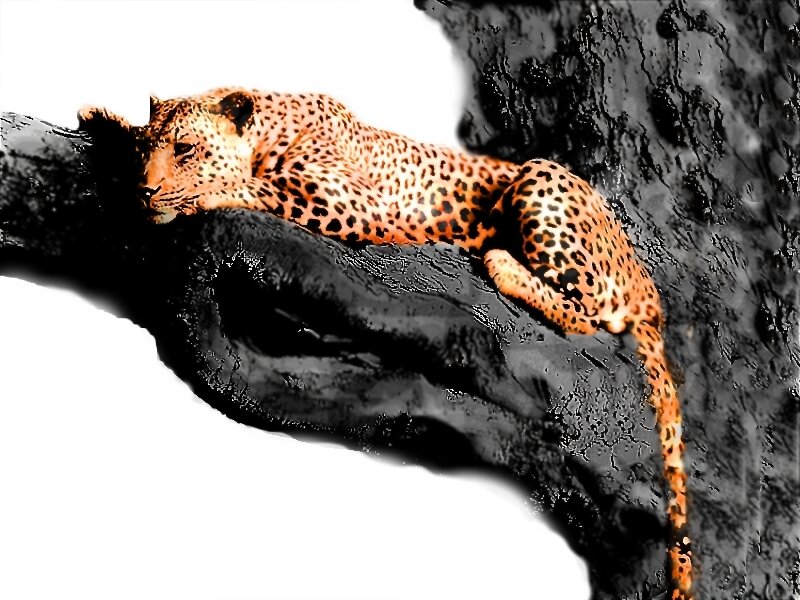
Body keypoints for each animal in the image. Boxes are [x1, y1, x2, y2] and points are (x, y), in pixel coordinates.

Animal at [79, 88, 694, 600]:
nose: (146, 188)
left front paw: (189, 193)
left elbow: (254, 189)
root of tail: (652, 294)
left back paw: (501, 260)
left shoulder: (354, 204)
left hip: (547, 181)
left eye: (185, 148)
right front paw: (107, 123)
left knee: (593, 314)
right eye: (147, 150)